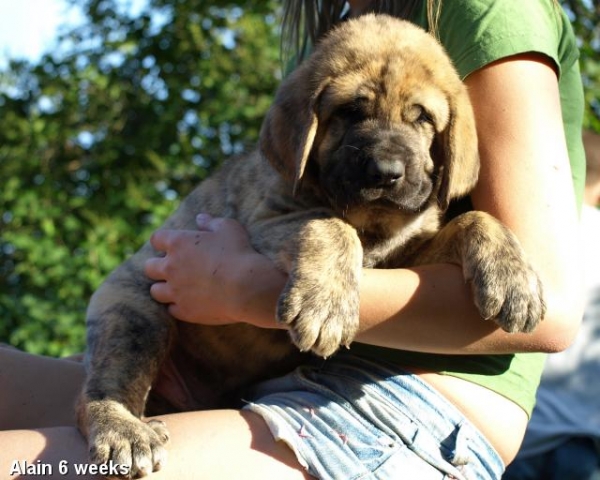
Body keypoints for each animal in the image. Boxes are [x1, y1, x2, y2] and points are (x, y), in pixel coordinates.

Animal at [77, 14, 548, 476]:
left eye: (423, 119)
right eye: (350, 112)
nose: (386, 172)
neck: (373, 223)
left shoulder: (408, 252)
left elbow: (474, 219)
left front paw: (513, 277)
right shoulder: (265, 221)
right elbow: (330, 227)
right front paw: (327, 307)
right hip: (136, 316)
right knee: (98, 391)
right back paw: (124, 429)